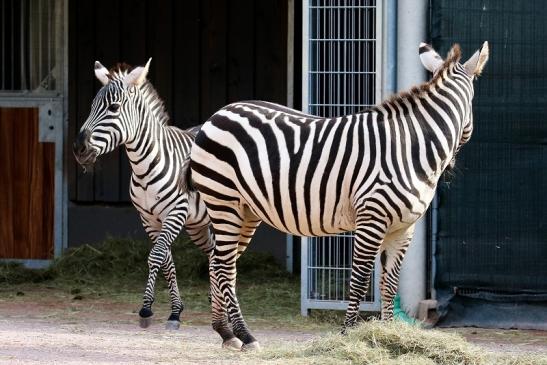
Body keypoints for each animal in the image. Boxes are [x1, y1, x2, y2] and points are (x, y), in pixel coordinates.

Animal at [74, 58, 215, 328]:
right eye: (91, 107)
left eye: (114, 107)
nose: (79, 149)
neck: (144, 167)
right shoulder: (148, 218)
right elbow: (167, 261)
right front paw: (175, 310)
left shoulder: (175, 212)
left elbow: (156, 255)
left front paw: (147, 309)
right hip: (198, 224)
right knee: (214, 252)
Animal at [191, 41, 490, 348]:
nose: (451, 166)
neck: (411, 146)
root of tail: (218, 114)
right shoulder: (372, 218)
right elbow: (359, 279)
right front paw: (348, 333)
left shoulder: (404, 228)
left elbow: (389, 283)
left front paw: (389, 333)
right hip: (223, 201)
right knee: (223, 266)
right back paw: (245, 335)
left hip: (246, 210)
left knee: (218, 264)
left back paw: (225, 332)